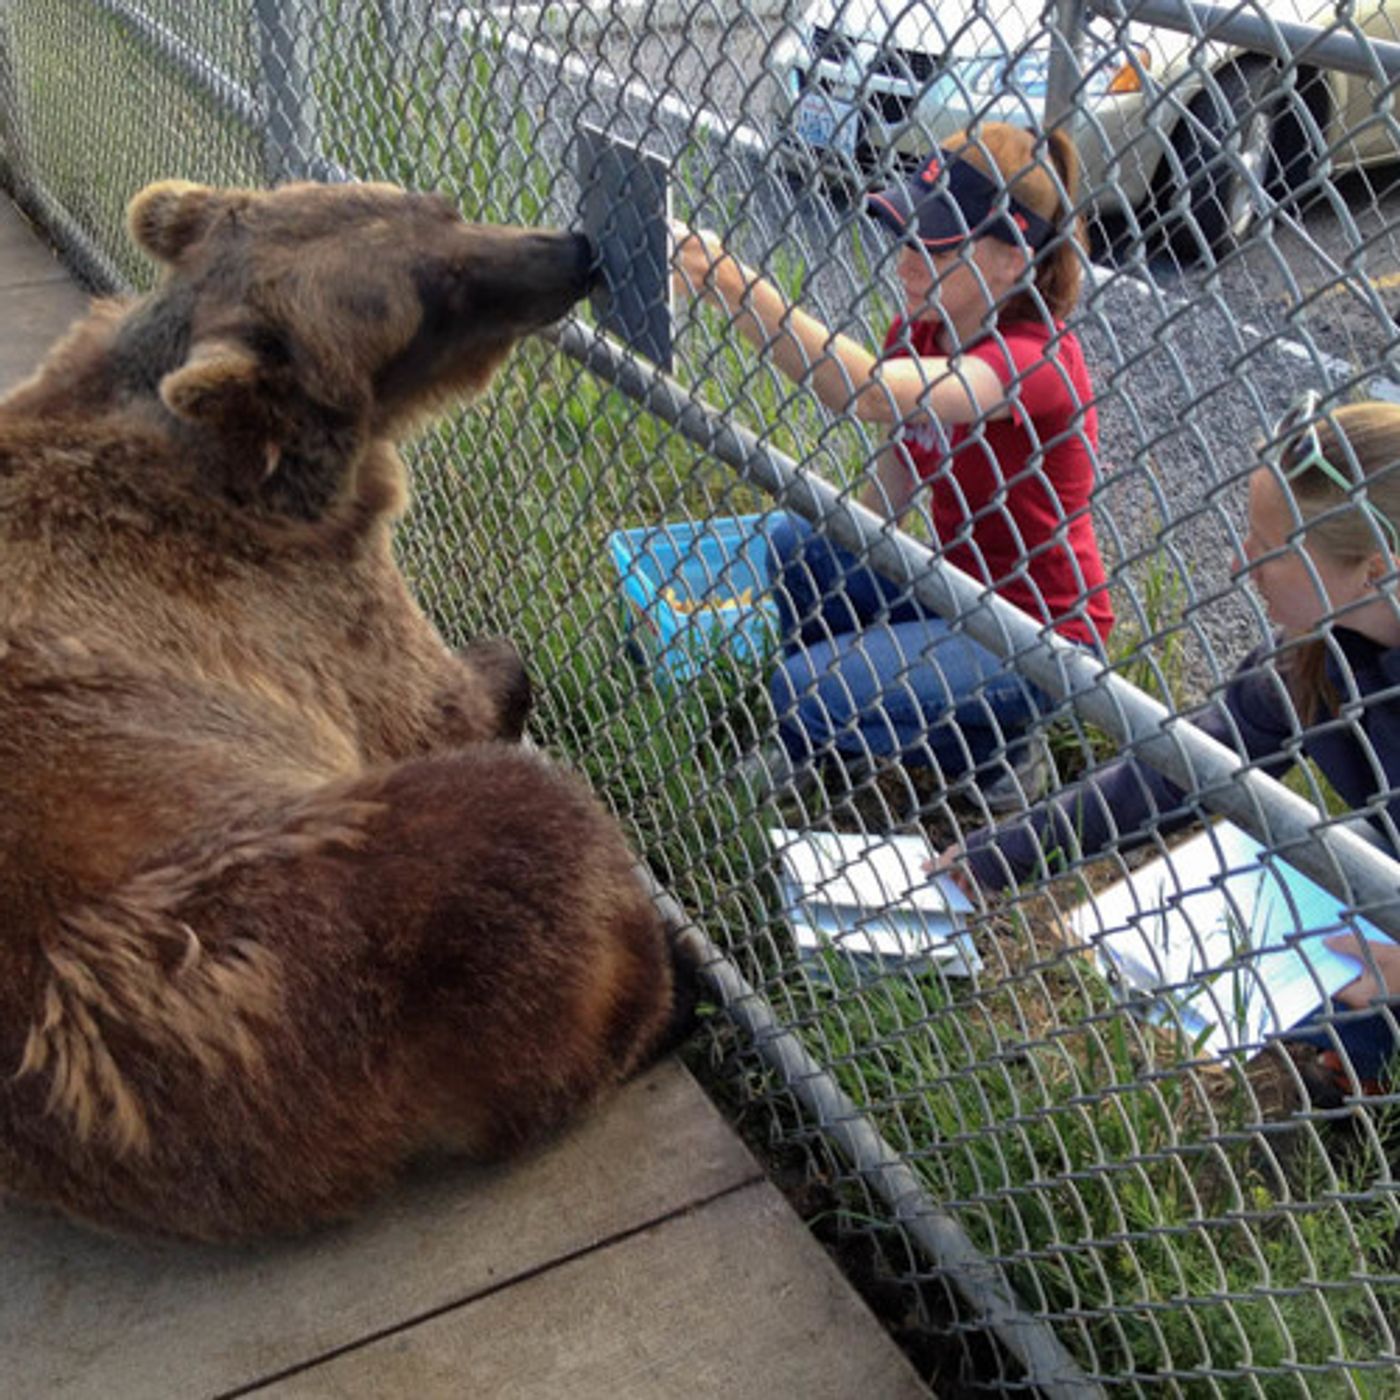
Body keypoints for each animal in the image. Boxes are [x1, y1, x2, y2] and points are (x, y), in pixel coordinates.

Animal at [0, 179, 694, 1242]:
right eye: (435, 293)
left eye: (439, 206)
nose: (571, 252)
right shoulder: (301, 599)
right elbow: (435, 700)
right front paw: (498, 666)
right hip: (267, 958)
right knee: (525, 842)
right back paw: (663, 992)